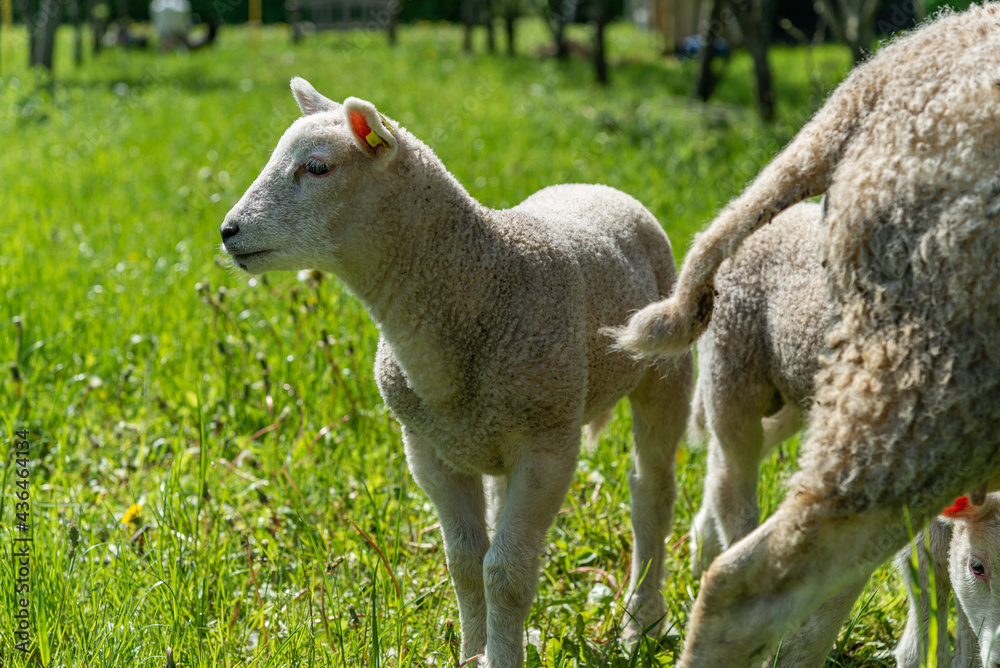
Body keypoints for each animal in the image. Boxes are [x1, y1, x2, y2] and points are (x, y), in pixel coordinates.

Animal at [219, 78, 693, 668]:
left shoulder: (547, 447)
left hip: (664, 369)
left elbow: (506, 573)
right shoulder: (430, 451)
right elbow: (466, 566)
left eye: (318, 167)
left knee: (651, 491)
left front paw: (503, 658)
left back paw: (642, 621)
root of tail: (596, 184)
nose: (228, 230)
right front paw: (474, 655)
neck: (477, 285)